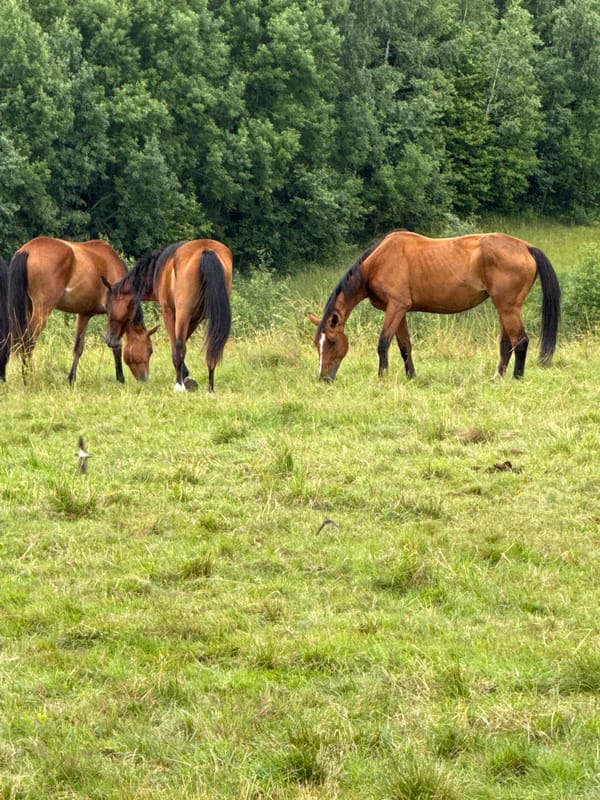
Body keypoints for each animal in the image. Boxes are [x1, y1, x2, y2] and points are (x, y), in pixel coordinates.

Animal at [1, 237, 159, 384]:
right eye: (150, 350)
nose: (145, 379)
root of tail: (27, 249)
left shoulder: (84, 314)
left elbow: (78, 348)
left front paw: (71, 378)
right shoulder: (114, 314)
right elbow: (116, 345)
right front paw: (120, 378)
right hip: (41, 310)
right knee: (28, 342)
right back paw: (28, 378)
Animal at [103, 238, 232, 392]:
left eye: (108, 306)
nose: (109, 339)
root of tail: (206, 249)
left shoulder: (169, 313)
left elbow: (176, 345)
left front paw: (183, 379)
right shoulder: (194, 319)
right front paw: (187, 377)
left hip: (183, 313)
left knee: (180, 347)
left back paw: (180, 386)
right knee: (212, 346)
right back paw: (210, 389)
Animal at [309, 230, 561, 381]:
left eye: (332, 342)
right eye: (316, 343)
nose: (324, 377)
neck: (378, 262)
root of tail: (526, 247)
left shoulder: (395, 307)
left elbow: (383, 344)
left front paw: (383, 377)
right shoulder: (401, 311)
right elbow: (404, 346)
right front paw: (411, 376)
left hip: (508, 308)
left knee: (521, 341)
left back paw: (517, 377)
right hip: (505, 308)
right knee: (507, 343)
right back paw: (497, 377)